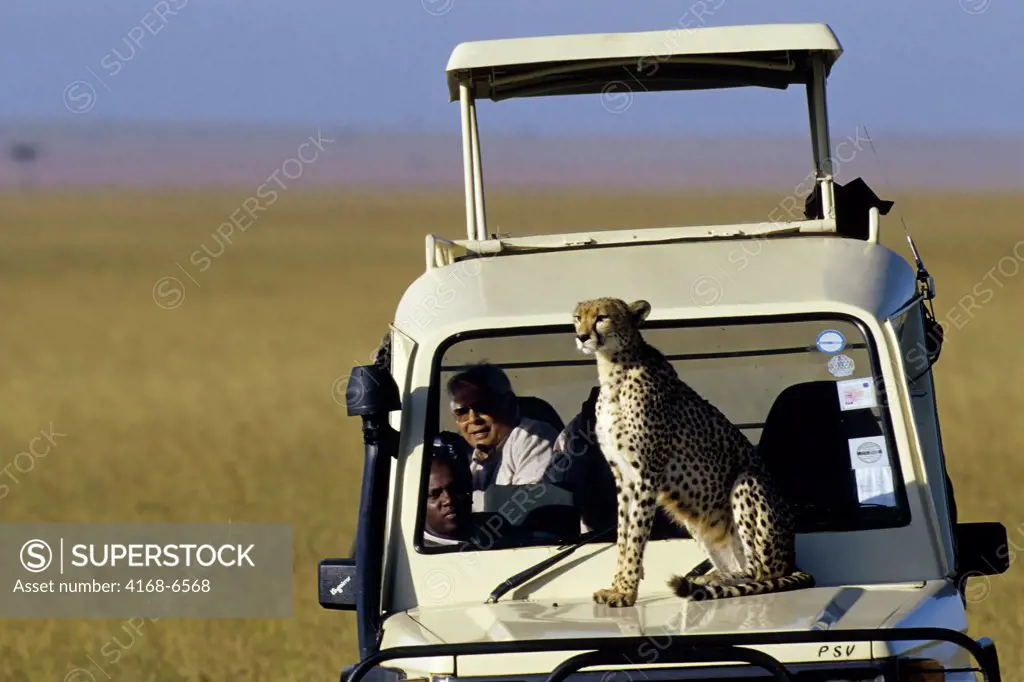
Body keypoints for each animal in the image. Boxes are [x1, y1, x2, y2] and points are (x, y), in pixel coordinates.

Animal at [573, 294, 811, 602]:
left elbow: (636, 535)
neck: (613, 368)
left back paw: (713, 580)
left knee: (761, 571)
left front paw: (626, 591)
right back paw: (708, 577)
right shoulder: (623, 477)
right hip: (696, 518)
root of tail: (793, 559)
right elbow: (623, 535)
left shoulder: (646, 475)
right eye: (578, 317)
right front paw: (617, 585)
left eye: (602, 317)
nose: (581, 336)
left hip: (747, 483)